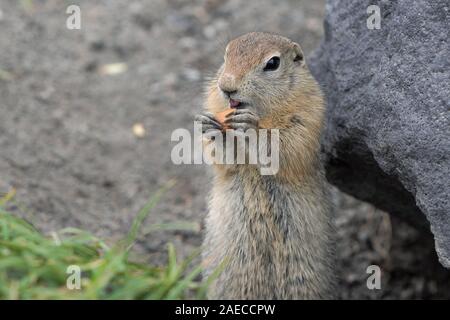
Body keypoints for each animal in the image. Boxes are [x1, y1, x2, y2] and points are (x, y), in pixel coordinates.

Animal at [195, 32, 336, 300]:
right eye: (226, 54)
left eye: (272, 63)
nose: (226, 86)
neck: (263, 113)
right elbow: (227, 160)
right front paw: (209, 125)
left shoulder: (307, 117)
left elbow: (281, 146)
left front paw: (250, 127)